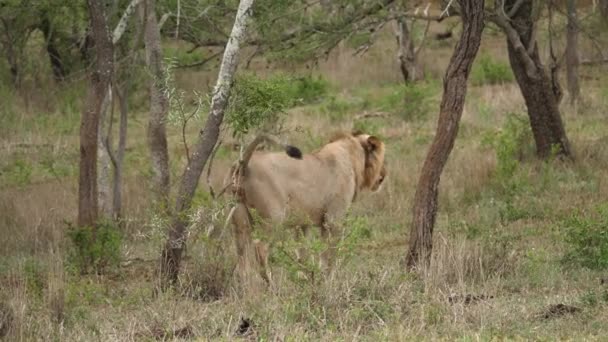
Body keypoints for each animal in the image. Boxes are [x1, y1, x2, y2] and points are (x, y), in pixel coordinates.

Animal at [226, 132, 388, 284]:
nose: (384, 176)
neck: (351, 153)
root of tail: (244, 164)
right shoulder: (333, 220)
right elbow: (329, 254)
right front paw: (328, 280)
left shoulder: (303, 224)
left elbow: (302, 253)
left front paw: (305, 279)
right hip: (273, 219)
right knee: (260, 248)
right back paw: (271, 285)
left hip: (239, 220)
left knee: (241, 253)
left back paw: (245, 285)